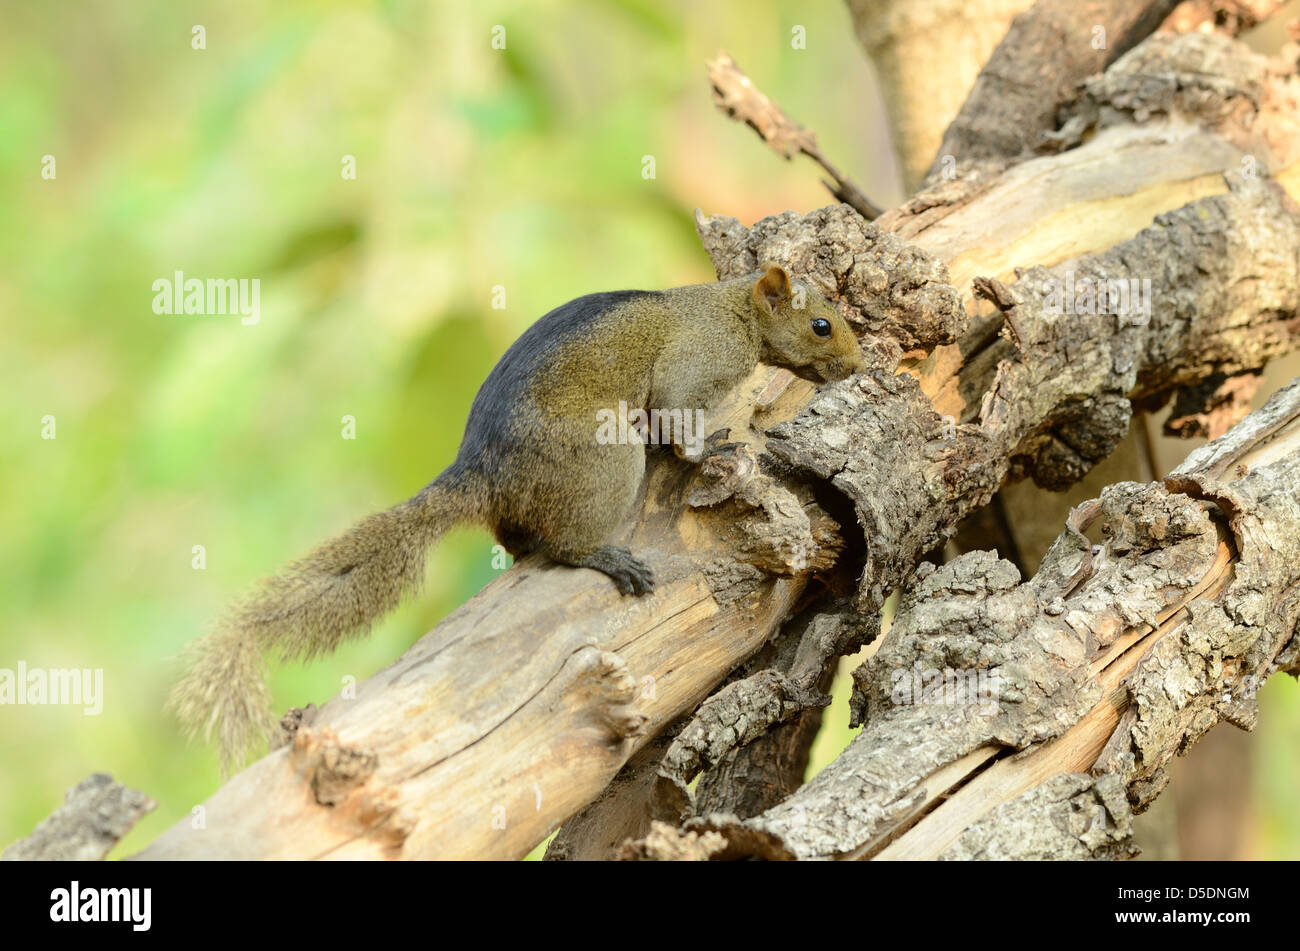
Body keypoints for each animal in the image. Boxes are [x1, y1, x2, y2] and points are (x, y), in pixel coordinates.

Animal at [170, 263, 863, 769]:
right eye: (822, 324)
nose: (857, 366)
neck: (733, 309)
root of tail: (485, 472)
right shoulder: (693, 367)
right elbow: (679, 420)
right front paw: (713, 448)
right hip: (606, 461)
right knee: (561, 544)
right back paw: (603, 555)